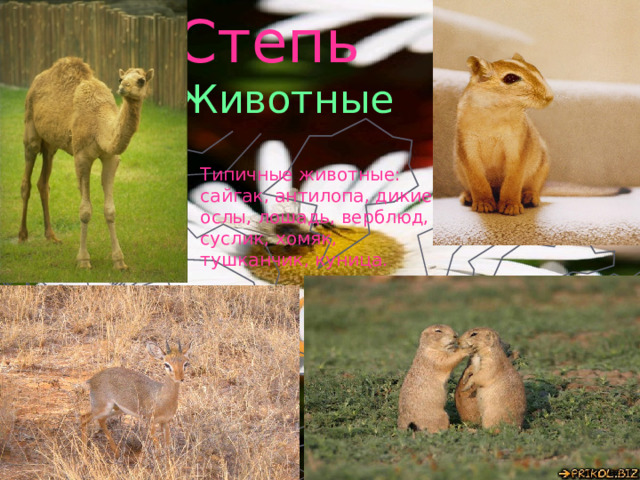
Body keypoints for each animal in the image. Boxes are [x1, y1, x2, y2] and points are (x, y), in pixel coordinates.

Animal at [19, 57, 154, 270]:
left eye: (141, 80)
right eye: (120, 78)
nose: (123, 87)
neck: (100, 126)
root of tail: (37, 80)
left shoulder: (110, 158)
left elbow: (110, 210)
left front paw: (119, 261)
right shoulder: (81, 157)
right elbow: (85, 210)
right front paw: (83, 260)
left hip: (50, 144)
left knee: (43, 182)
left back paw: (52, 236)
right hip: (30, 127)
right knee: (27, 180)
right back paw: (22, 236)